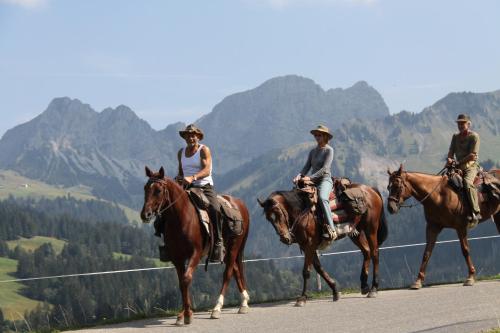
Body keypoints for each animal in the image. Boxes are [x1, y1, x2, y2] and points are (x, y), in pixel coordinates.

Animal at [140, 166, 250, 324]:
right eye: (145, 188)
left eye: (158, 190)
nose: (145, 214)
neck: (181, 218)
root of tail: (240, 204)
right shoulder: (177, 258)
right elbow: (181, 283)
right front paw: (183, 314)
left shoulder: (195, 253)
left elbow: (186, 279)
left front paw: (187, 314)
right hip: (227, 251)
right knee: (236, 269)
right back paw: (244, 302)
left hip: (235, 246)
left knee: (228, 273)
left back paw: (217, 308)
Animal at [258, 182, 386, 304]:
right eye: (268, 218)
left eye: (279, 213)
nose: (284, 238)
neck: (302, 210)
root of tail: (371, 189)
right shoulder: (306, 246)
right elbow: (319, 268)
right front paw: (335, 291)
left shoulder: (309, 245)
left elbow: (306, 271)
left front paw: (302, 298)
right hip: (355, 232)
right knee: (366, 251)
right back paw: (364, 286)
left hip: (371, 228)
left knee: (374, 253)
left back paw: (374, 288)